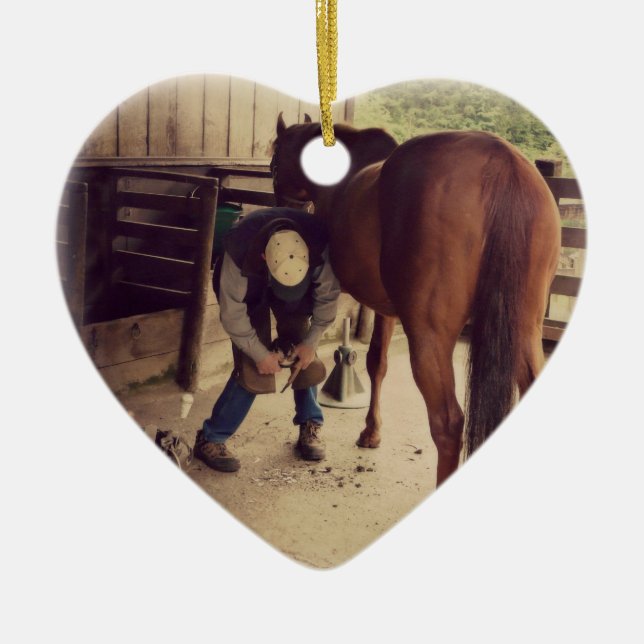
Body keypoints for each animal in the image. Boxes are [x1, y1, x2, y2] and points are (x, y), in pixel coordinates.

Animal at [270, 114, 561, 486]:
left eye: (275, 159)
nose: (284, 212)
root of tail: (501, 163)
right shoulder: (384, 308)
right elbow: (376, 362)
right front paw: (371, 433)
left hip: (429, 337)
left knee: (448, 424)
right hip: (524, 328)